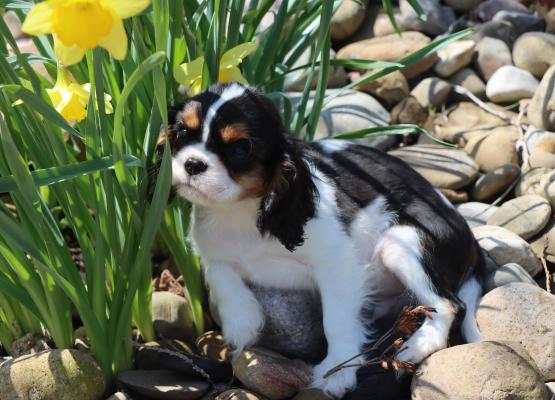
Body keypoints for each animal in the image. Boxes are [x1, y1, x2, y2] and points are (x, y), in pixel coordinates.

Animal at [162, 81, 486, 396]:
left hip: (401, 241)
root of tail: (470, 237)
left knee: (449, 304)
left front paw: (336, 372)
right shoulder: (209, 248)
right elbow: (222, 277)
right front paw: (243, 324)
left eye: (241, 148)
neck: (239, 211)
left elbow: (337, 320)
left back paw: (416, 346)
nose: (192, 164)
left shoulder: (337, 264)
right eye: (182, 131)